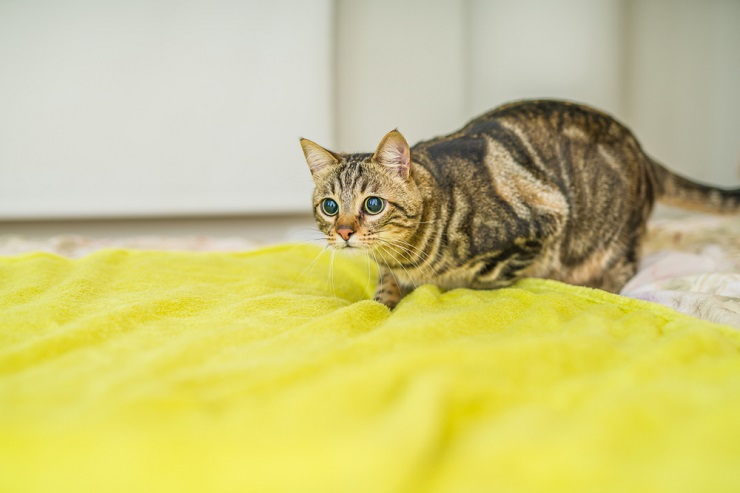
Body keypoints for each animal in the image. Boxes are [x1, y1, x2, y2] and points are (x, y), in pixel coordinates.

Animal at [298, 99, 736, 308]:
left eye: (373, 205)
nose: (344, 232)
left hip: (613, 238)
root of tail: (641, 151)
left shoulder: (543, 222)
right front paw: (383, 301)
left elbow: (484, 279)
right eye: (330, 207)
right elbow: (383, 288)